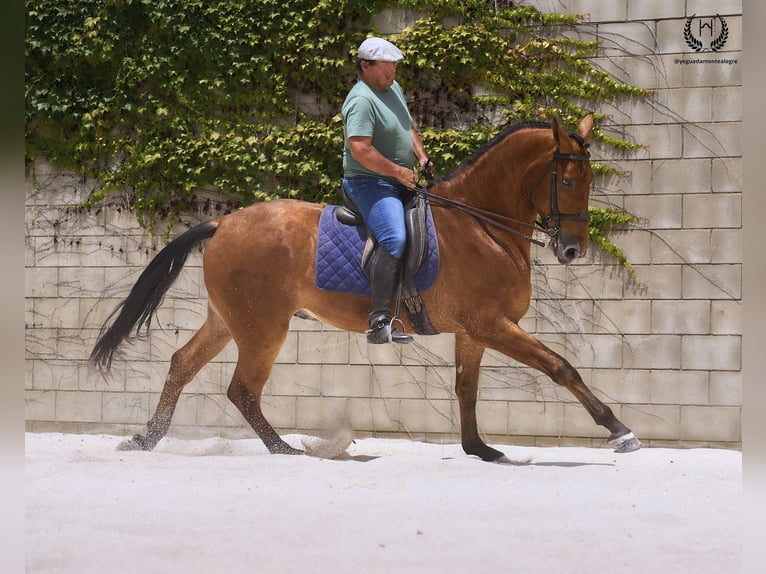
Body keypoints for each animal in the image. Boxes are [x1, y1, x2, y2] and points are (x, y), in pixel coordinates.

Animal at [88, 115, 640, 462]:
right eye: (567, 181)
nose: (573, 250)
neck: (482, 226)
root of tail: (224, 223)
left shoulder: (474, 331)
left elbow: (466, 388)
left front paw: (478, 449)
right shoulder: (492, 324)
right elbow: (561, 367)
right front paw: (619, 430)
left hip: (228, 320)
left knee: (182, 364)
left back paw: (146, 439)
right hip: (262, 327)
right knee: (242, 388)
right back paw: (285, 449)